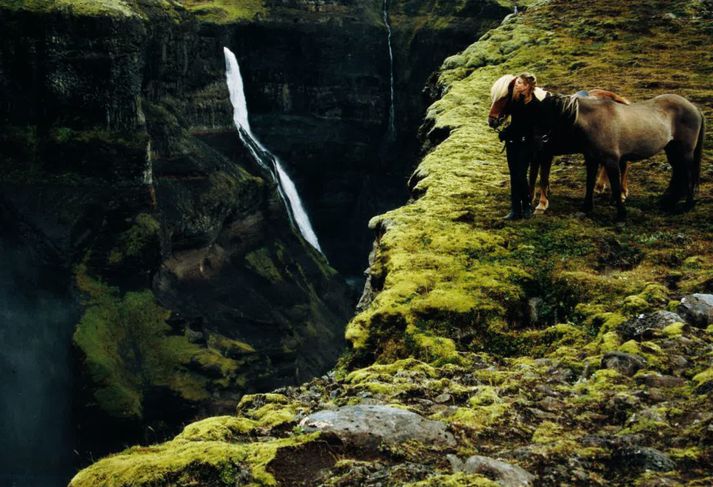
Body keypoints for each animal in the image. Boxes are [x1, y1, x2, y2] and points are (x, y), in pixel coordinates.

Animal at [486, 75, 704, 220]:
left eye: (505, 97)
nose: (492, 120)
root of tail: (694, 108)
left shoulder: (546, 154)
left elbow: (542, 177)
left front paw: (541, 204)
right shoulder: (540, 154)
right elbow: (532, 177)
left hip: (684, 151)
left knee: (686, 172)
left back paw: (682, 204)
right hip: (672, 149)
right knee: (677, 172)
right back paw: (667, 201)